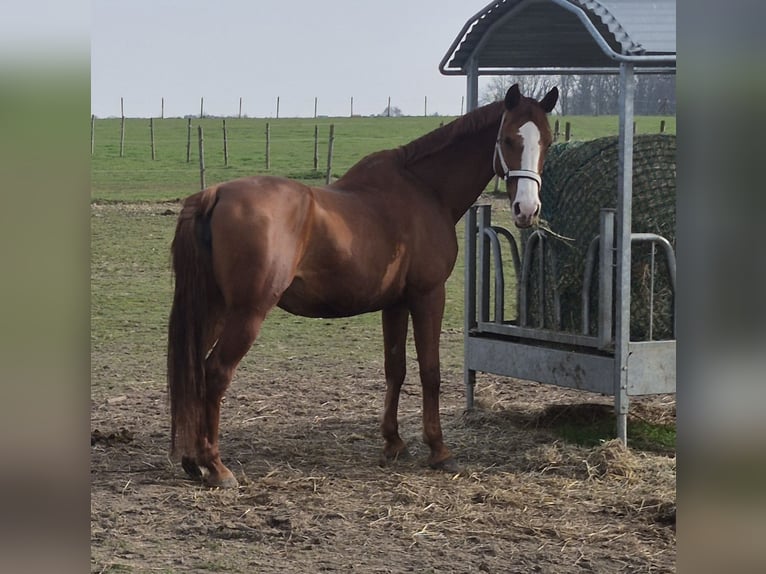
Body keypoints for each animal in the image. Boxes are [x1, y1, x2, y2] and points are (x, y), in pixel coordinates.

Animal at [167, 84, 558, 487]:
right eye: (509, 139)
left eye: (547, 140)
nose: (527, 210)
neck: (424, 189)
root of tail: (215, 194)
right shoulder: (428, 295)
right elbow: (430, 371)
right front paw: (438, 449)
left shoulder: (395, 303)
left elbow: (395, 368)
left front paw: (394, 443)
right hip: (247, 312)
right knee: (216, 373)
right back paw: (215, 465)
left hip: (213, 308)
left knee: (195, 373)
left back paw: (193, 460)